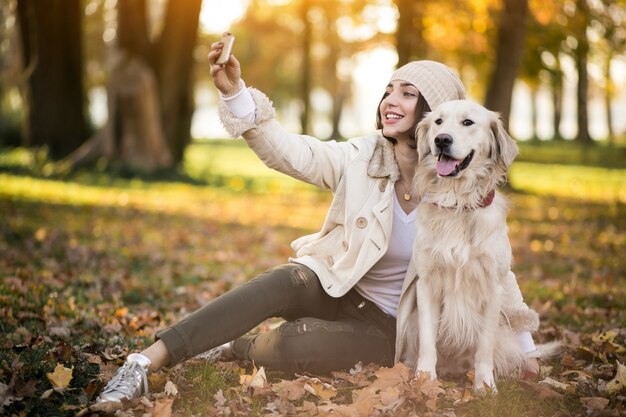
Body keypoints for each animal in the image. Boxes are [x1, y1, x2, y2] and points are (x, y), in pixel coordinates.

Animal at [410, 99, 528, 392]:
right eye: (438, 121)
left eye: (468, 122)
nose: (441, 140)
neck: (457, 203)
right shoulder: (427, 282)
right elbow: (427, 340)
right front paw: (424, 379)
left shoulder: (492, 286)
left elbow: (484, 345)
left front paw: (484, 386)